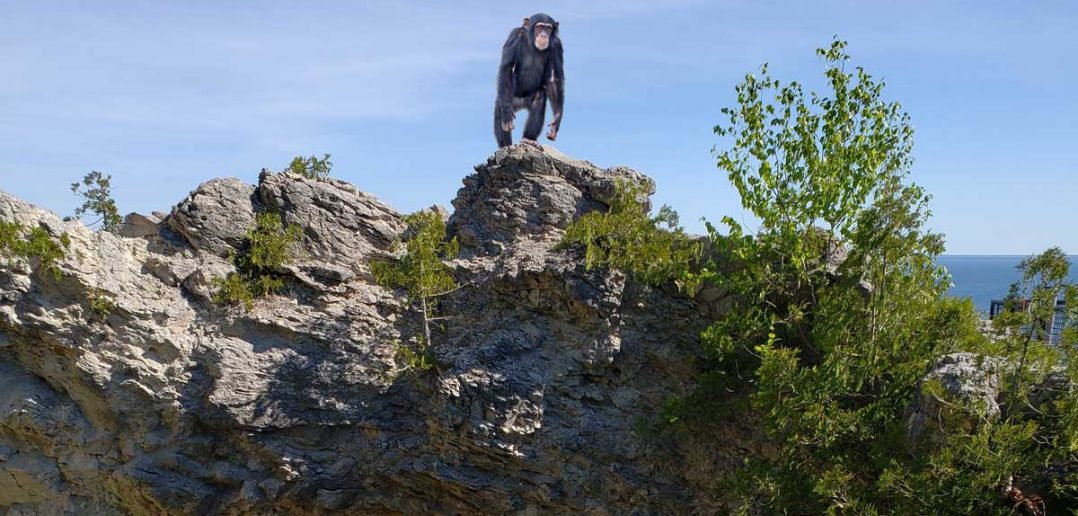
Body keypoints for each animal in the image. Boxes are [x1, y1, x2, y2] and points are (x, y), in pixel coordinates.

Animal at [493, 13, 564, 149]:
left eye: (548, 28)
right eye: (539, 27)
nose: (544, 35)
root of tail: (521, 103)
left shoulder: (557, 45)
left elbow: (554, 79)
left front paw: (556, 122)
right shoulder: (514, 35)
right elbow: (507, 68)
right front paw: (507, 115)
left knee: (539, 98)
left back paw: (528, 139)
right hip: (511, 98)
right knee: (500, 107)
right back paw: (505, 145)